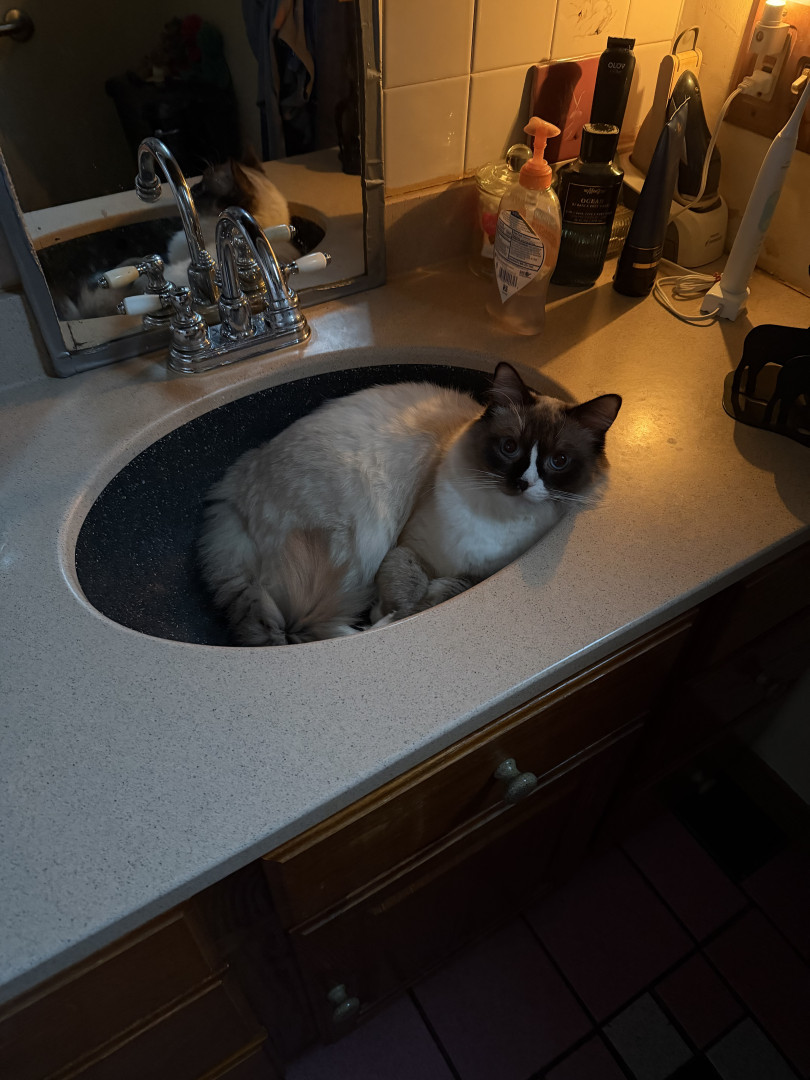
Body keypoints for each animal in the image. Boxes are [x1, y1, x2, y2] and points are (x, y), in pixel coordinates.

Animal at [198, 362, 621, 646]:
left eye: (559, 462)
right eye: (509, 447)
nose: (521, 483)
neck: (498, 519)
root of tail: (233, 493)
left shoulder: (478, 574)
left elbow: (446, 588)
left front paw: (418, 604)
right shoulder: (407, 547)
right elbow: (410, 590)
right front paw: (399, 611)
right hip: (360, 542)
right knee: (316, 624)